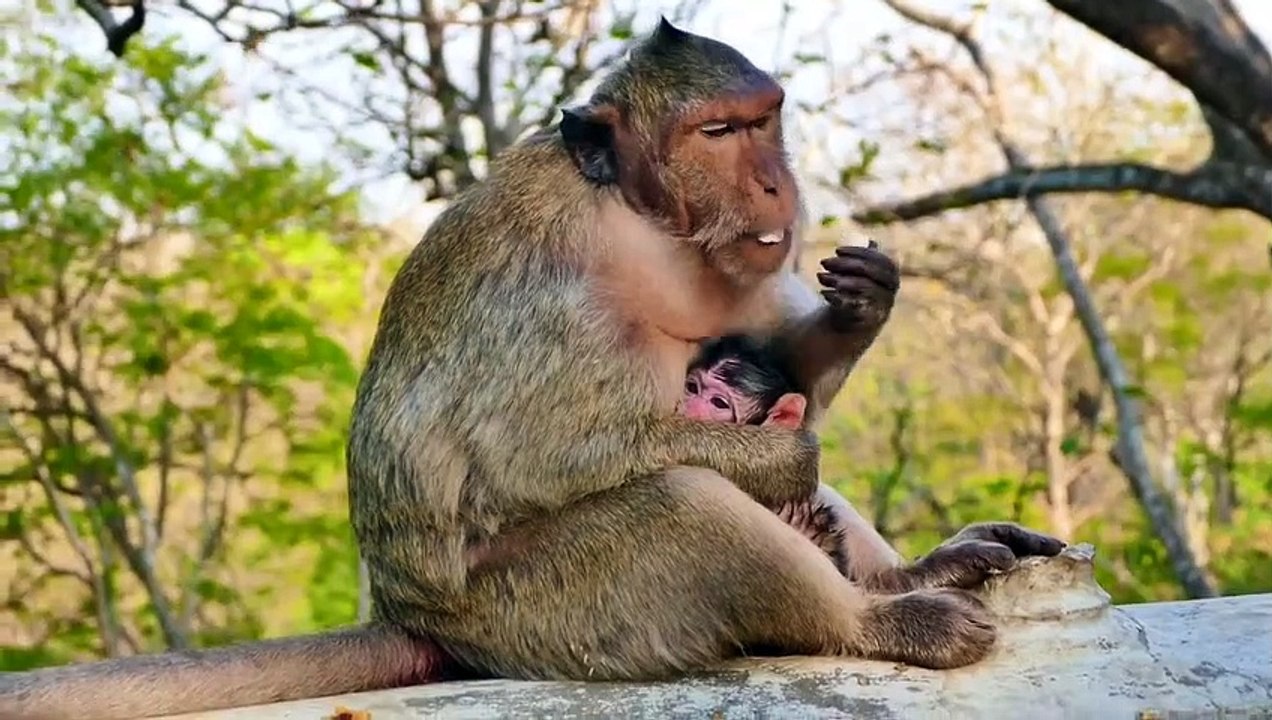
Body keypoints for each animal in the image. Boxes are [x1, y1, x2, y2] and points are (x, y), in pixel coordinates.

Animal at [0, 18, 1063, 719]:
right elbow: (543, 456)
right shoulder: (552, 283)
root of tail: (418, 615)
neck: (642, 216)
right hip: (544, 611)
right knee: (680, 504)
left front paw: (861, 302)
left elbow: (774, 356)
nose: (775, 182)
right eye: (718, 133)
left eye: (766, 119)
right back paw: (883, 621)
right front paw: (779, 464)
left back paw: (915, 572)